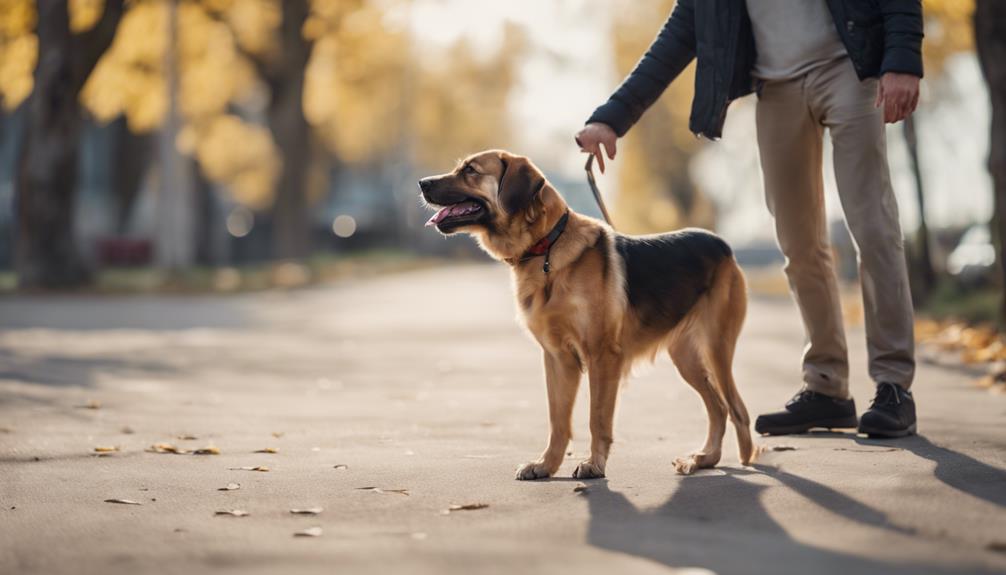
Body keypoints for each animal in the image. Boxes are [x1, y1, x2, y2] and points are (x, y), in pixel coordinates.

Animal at [418, 150, 756, 478]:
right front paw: (546, 465)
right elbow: (558, 420)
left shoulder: (602, 356)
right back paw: (705, 459)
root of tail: (722, 244)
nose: (422, 183)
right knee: (718, 407)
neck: (547, 246)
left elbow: (597, 418)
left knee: (736, 408)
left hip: (716, 347)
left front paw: (594, 464)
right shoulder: (557, 359)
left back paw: (744, 460)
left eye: (470, 170)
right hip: (685, 358)